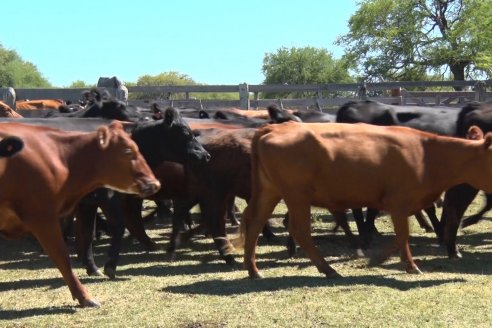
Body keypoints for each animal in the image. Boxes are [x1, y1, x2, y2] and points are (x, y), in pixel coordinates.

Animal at [0, 120, 160, 308]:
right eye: (128, 151)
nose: (155, 183)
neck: (62, 157)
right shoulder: (43, 217)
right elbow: (62, 257)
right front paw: (85, 296)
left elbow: (87, 234)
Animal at [238, 121, 492, 280]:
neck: (427, 154)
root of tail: (275, 126)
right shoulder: (399, 202)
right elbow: (403, 235)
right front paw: (401, 264)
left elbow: (401, 237)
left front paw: (385, 260)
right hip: (297, 194)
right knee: (299, 230)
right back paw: (328, 269)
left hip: (270, 191)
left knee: (255, 222)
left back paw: (253, 270)